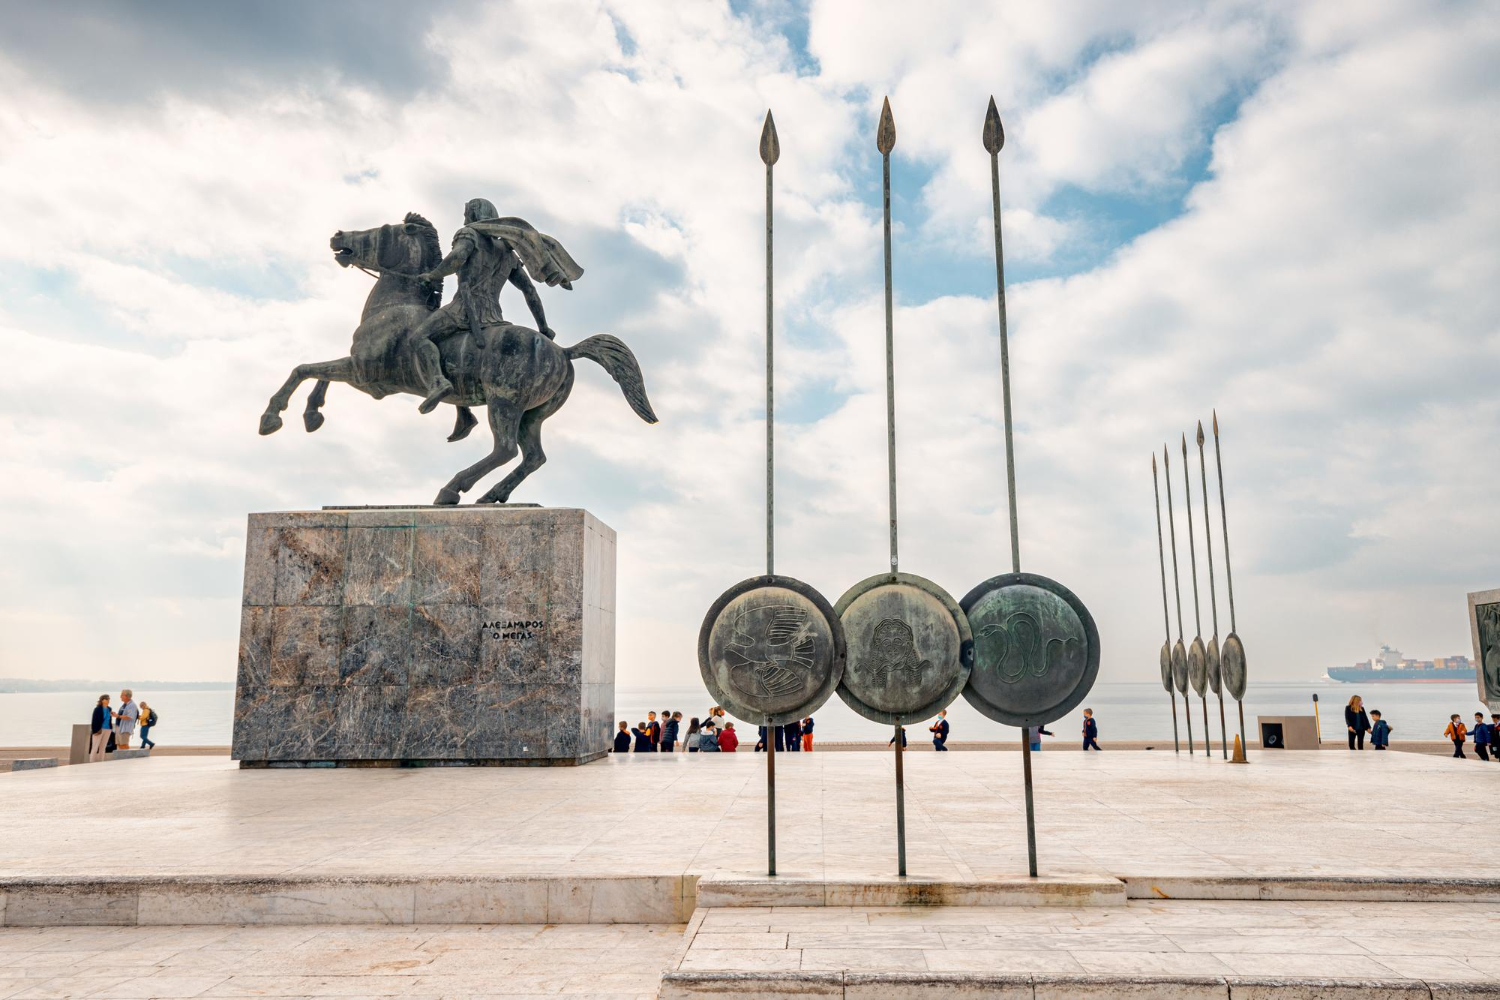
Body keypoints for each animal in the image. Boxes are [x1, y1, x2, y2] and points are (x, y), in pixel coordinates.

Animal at [258, 215, 657, 503]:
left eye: (381, 231)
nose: (339, 236)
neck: (395, 305)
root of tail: (563, 352)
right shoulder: (360, 373)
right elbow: (317, 374)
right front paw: (312, 415)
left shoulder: (365, 376)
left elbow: (305, 369)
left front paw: (273, 417)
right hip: (533, 414)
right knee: (533, 457)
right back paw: (491, 495)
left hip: (504, 403)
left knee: (505, 449)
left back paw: (452, 489)